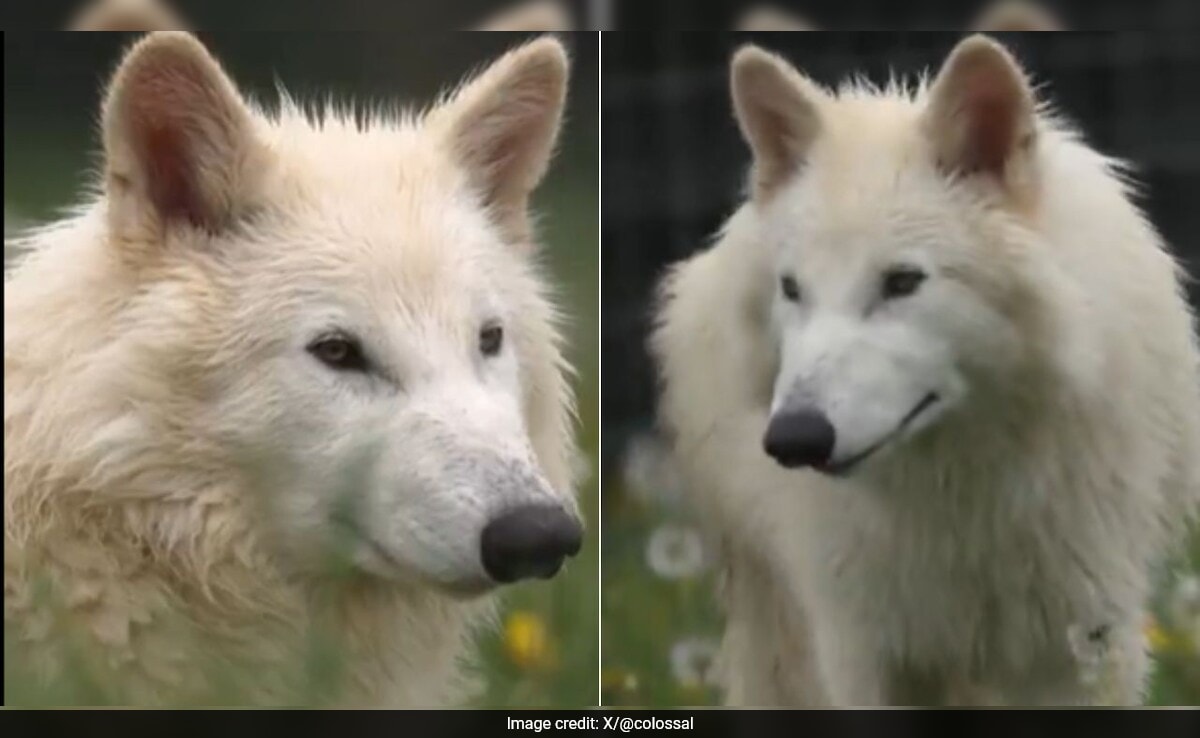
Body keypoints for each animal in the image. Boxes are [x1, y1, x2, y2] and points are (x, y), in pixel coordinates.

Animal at [651, 35, 1200, 706]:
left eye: (902, 282)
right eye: (792, 288)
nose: (794, 439)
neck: (957, 491)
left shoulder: (1085, 645)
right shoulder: (864, 654)